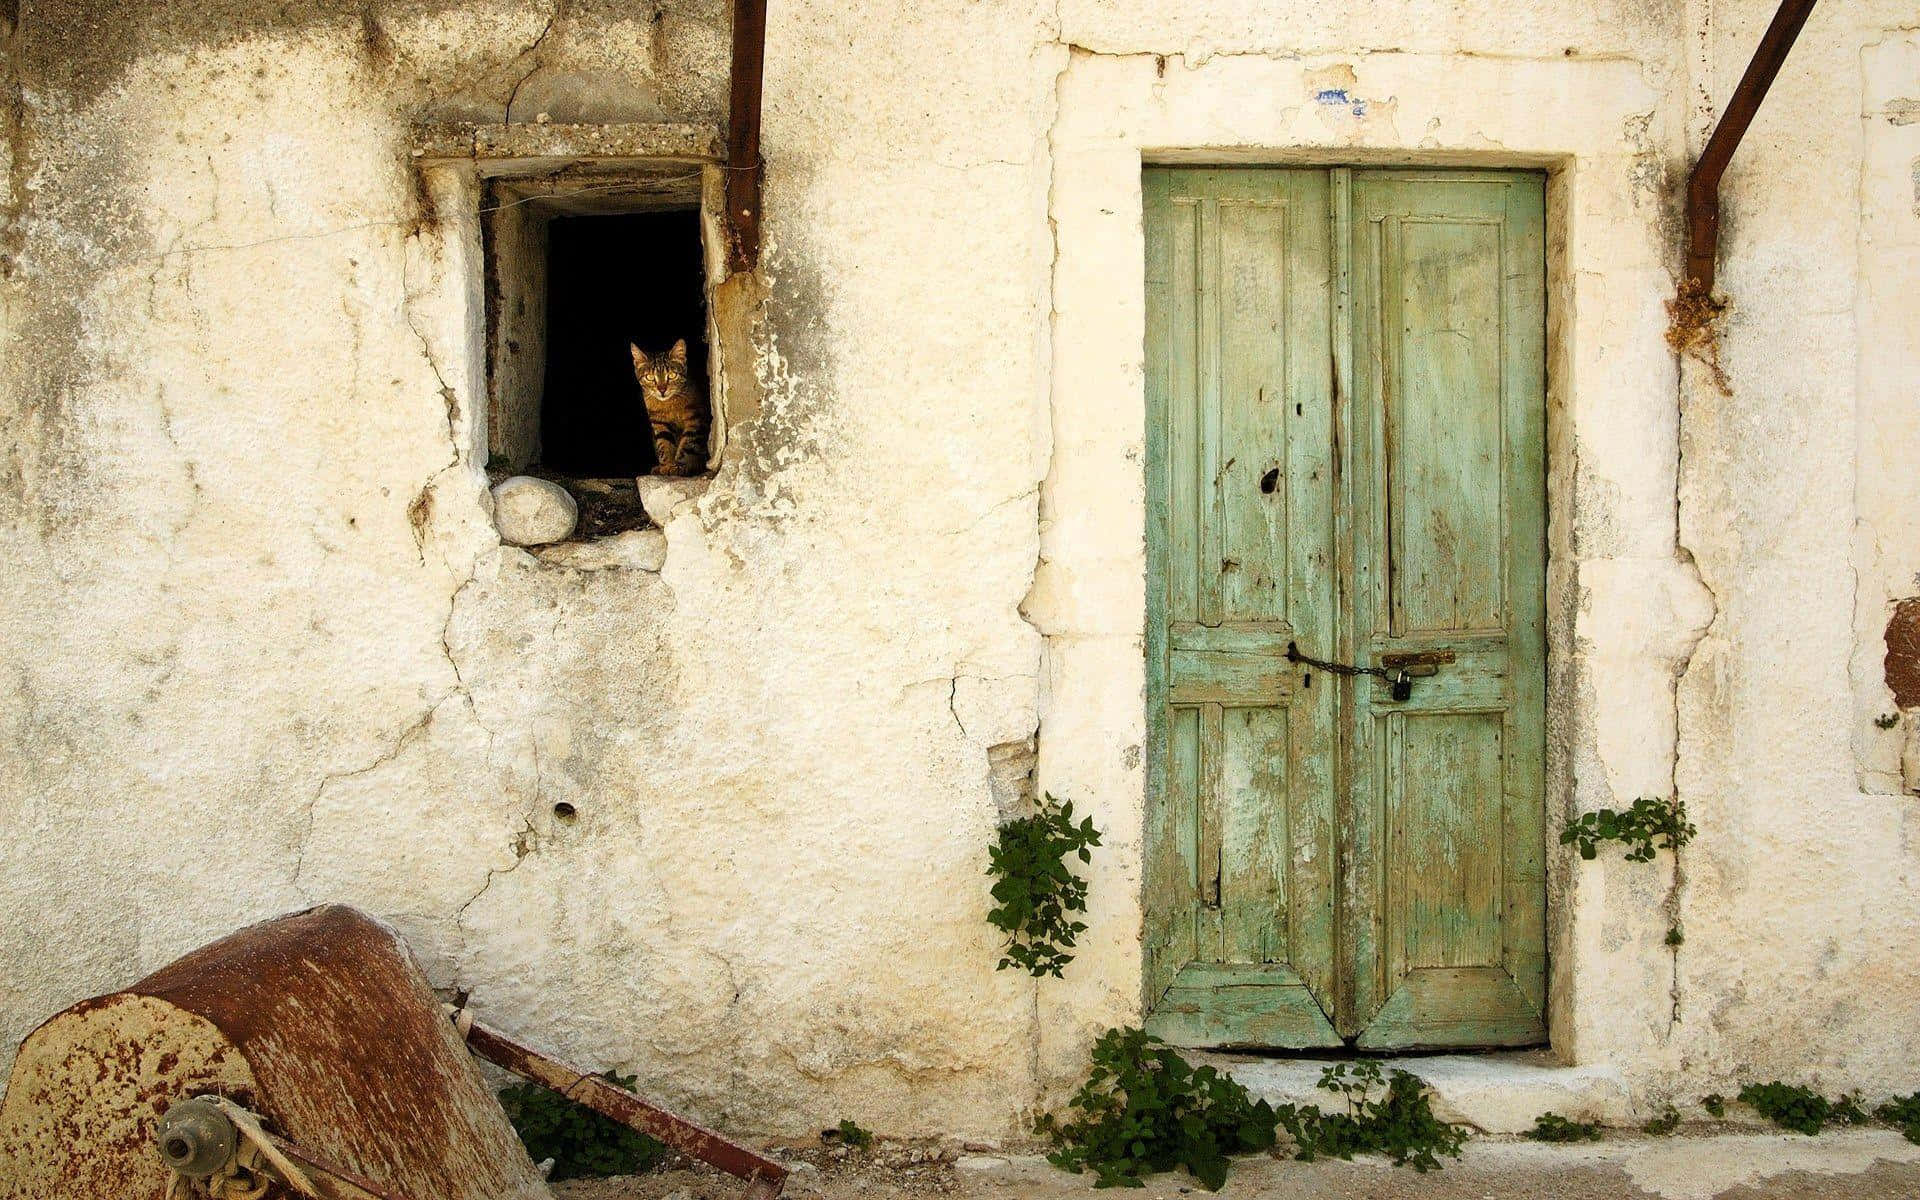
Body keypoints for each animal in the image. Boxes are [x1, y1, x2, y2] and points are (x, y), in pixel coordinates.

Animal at [633, 339, 710, 474]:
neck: (669, 404)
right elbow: (664, 443)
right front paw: (667, 465)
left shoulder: (696, 418)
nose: (662, 390)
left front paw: (679, 466)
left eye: (672, 375)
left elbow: (687, 443)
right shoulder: (659, 422)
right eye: (650, 377)